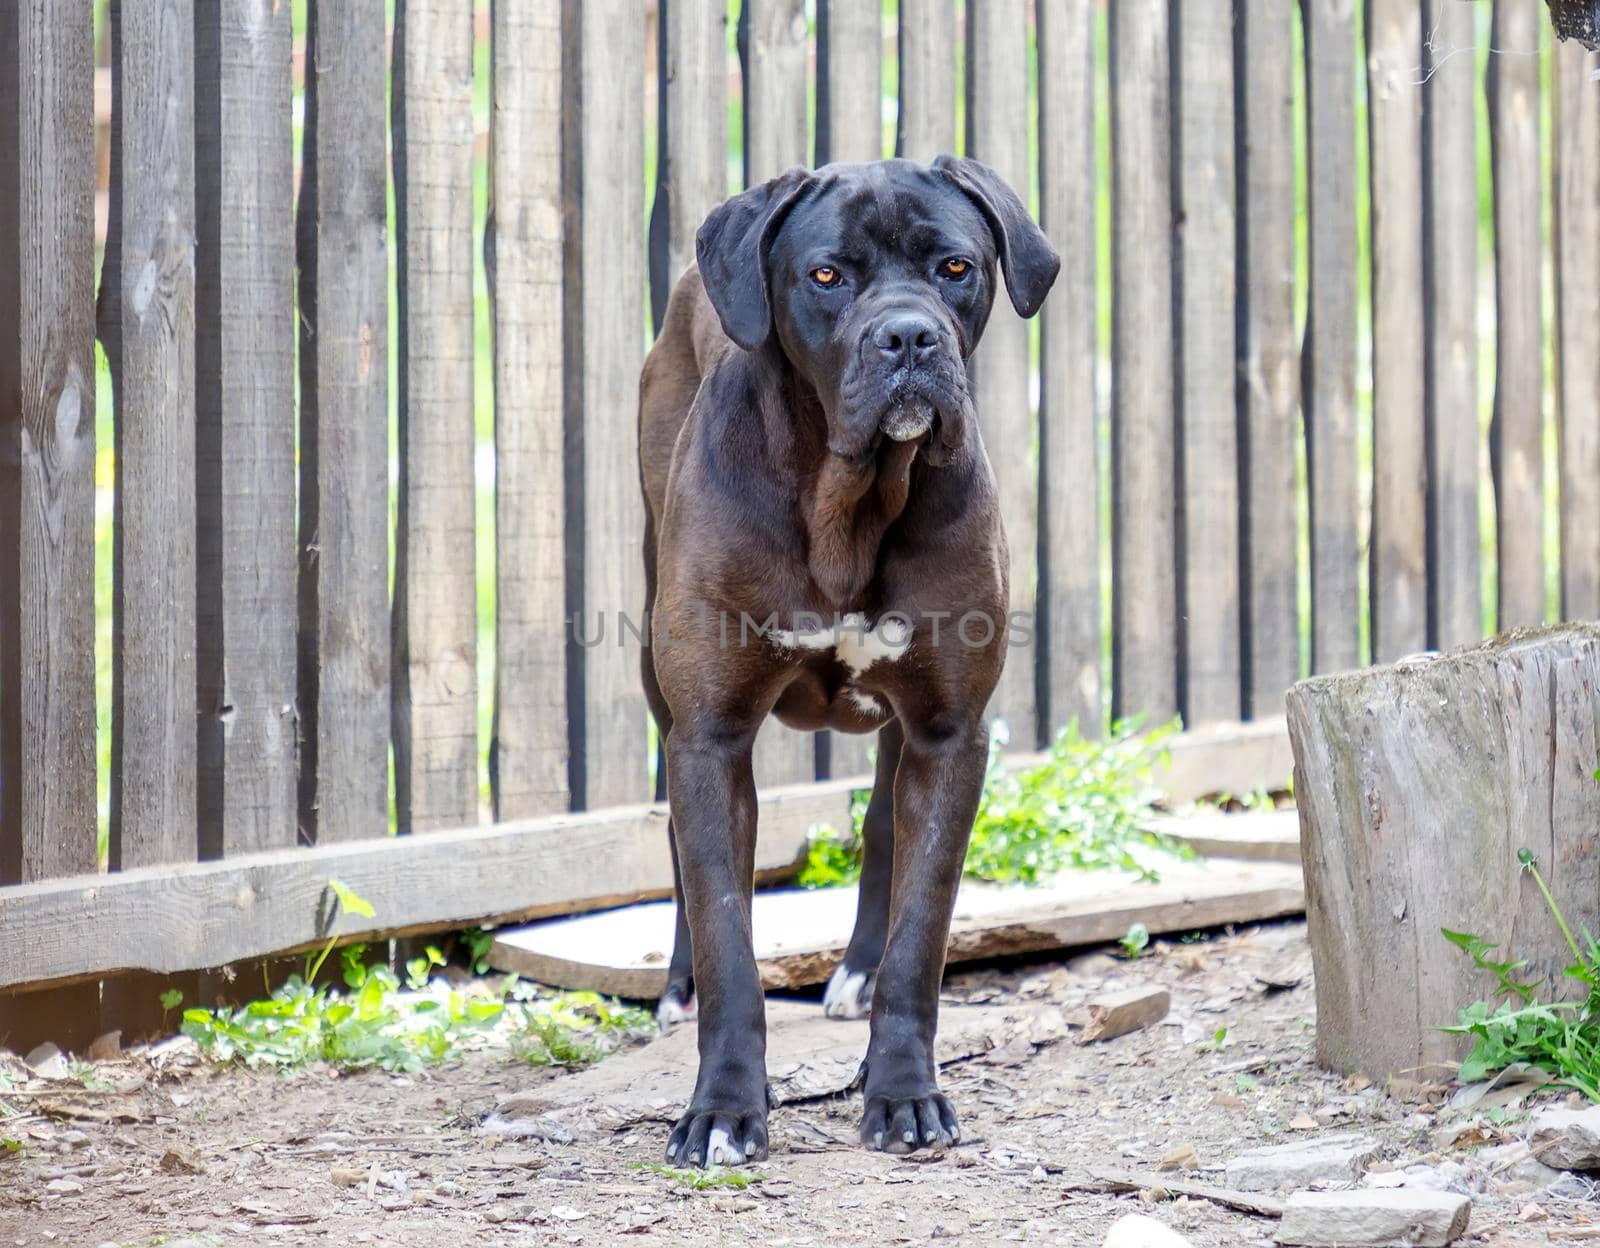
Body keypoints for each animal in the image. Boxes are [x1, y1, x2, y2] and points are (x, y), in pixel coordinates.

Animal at [636, 158, 1062, 1171]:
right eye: (827, 276)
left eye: (956, 267)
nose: (907, 336)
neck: (847, 499)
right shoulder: (711, 737)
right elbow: (727, 933)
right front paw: (723, 1108)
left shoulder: (949, 733)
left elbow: (923, 928)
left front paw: (904, 1090)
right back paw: (674, 987)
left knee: (881, 832)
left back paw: (856, 978)